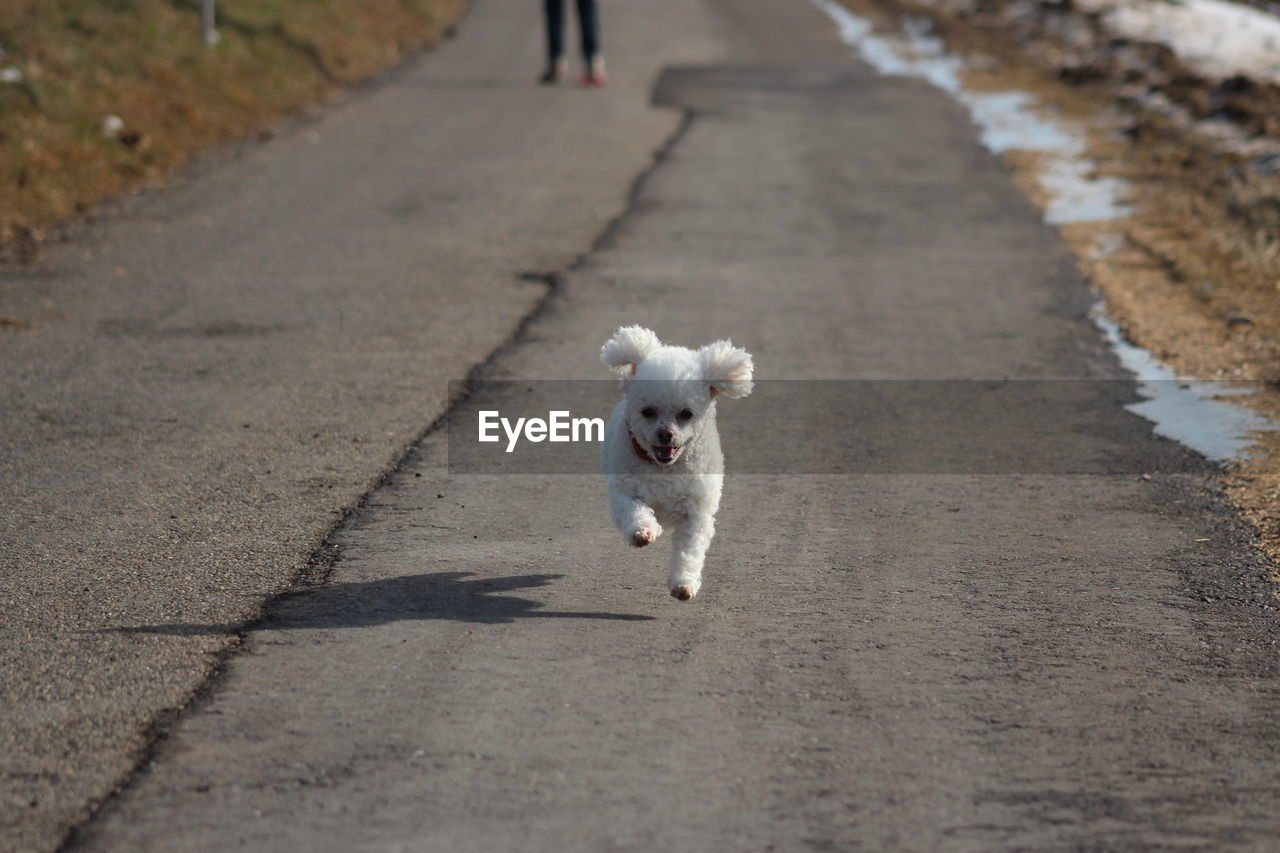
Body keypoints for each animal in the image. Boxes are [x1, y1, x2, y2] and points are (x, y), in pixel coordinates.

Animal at [599, 324, 747, 596]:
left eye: (686, 414)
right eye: (648, 411)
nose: (665, 434)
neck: (664, 467)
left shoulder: (695, 514)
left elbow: (689, 550)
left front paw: (684, 583)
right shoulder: (625, 492)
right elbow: (634, 511)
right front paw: (643, 531)